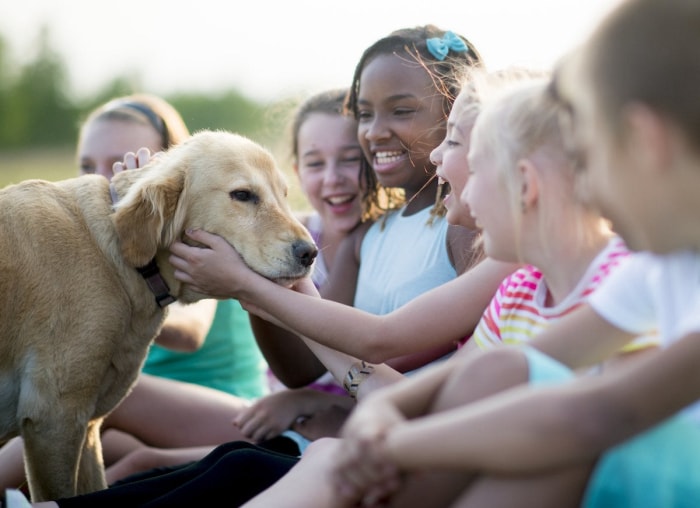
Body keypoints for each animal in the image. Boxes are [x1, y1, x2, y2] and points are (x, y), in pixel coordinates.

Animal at [0, 130, 318, 500]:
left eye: (284, 195)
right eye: (242, 195)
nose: (310, 253)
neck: (122, 258)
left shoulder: (84, 426)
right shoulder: (53, 420)